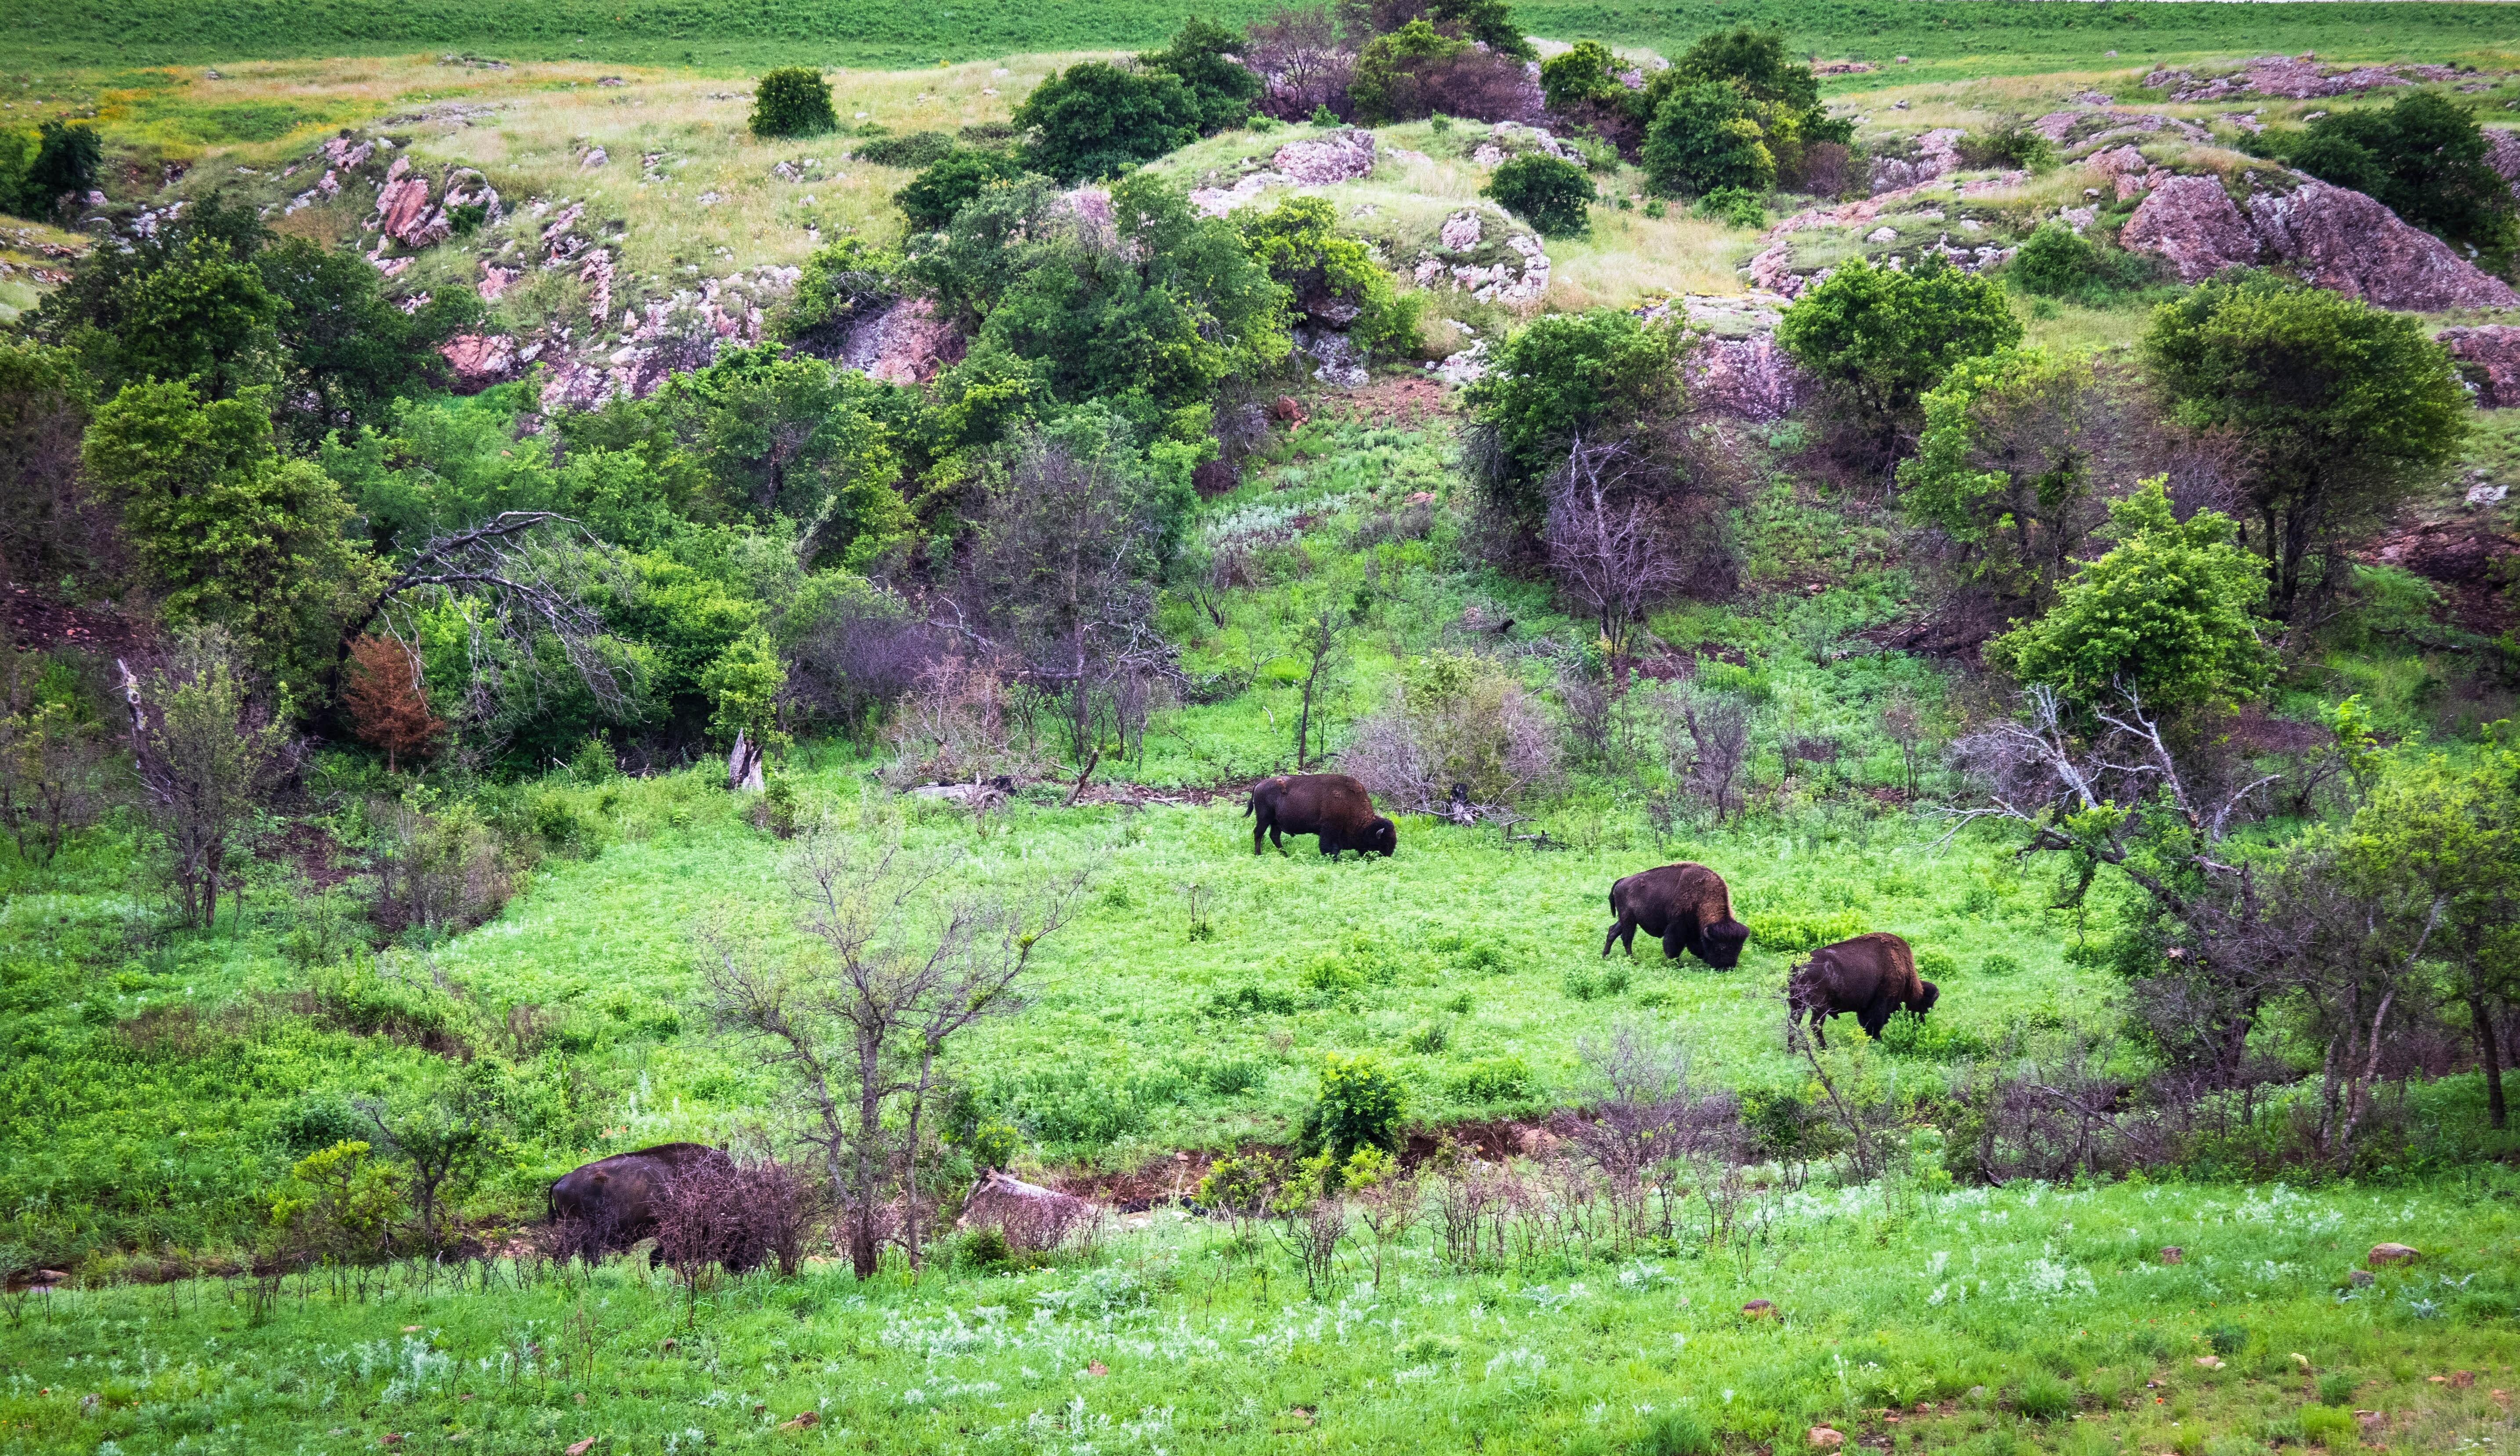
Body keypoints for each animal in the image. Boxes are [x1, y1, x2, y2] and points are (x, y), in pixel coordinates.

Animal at [1245, 771, 1401, 851]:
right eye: (1384, 844)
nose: (1386, 857)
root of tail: (1259, 784)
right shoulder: (1329, 829)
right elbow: (1327, 847)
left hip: (1276, 822)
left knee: (1274, 836)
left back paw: (1286, 855)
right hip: (1264, 818)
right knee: (1258, 834)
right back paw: (1259, 854)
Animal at [1603, 861, 1744, 962]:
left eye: (1739, 948)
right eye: (1721, 947)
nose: (1728, 967)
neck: (1703, 896)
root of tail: (1622, 881)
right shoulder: (1677, 926)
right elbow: (1673, 946)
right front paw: (1677, 963)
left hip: (1625, 919)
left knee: (1613, 931)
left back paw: (1605, 956)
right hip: (1629, 919)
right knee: (1626, 938)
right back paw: (1633, 961)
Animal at [1784, 927, 1935, 1043]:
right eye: (1925, 1006)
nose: (1921, 1026)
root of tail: (1798, 966)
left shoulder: (1864, 1007)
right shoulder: (1881, 1003)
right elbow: (1875, 1024)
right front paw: (1878, 1040)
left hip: (1797, 1003)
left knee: (1793, 1022)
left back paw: (1792, 1052)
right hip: (1819, 1007)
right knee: (1815, 1026)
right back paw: (1824, 1049)